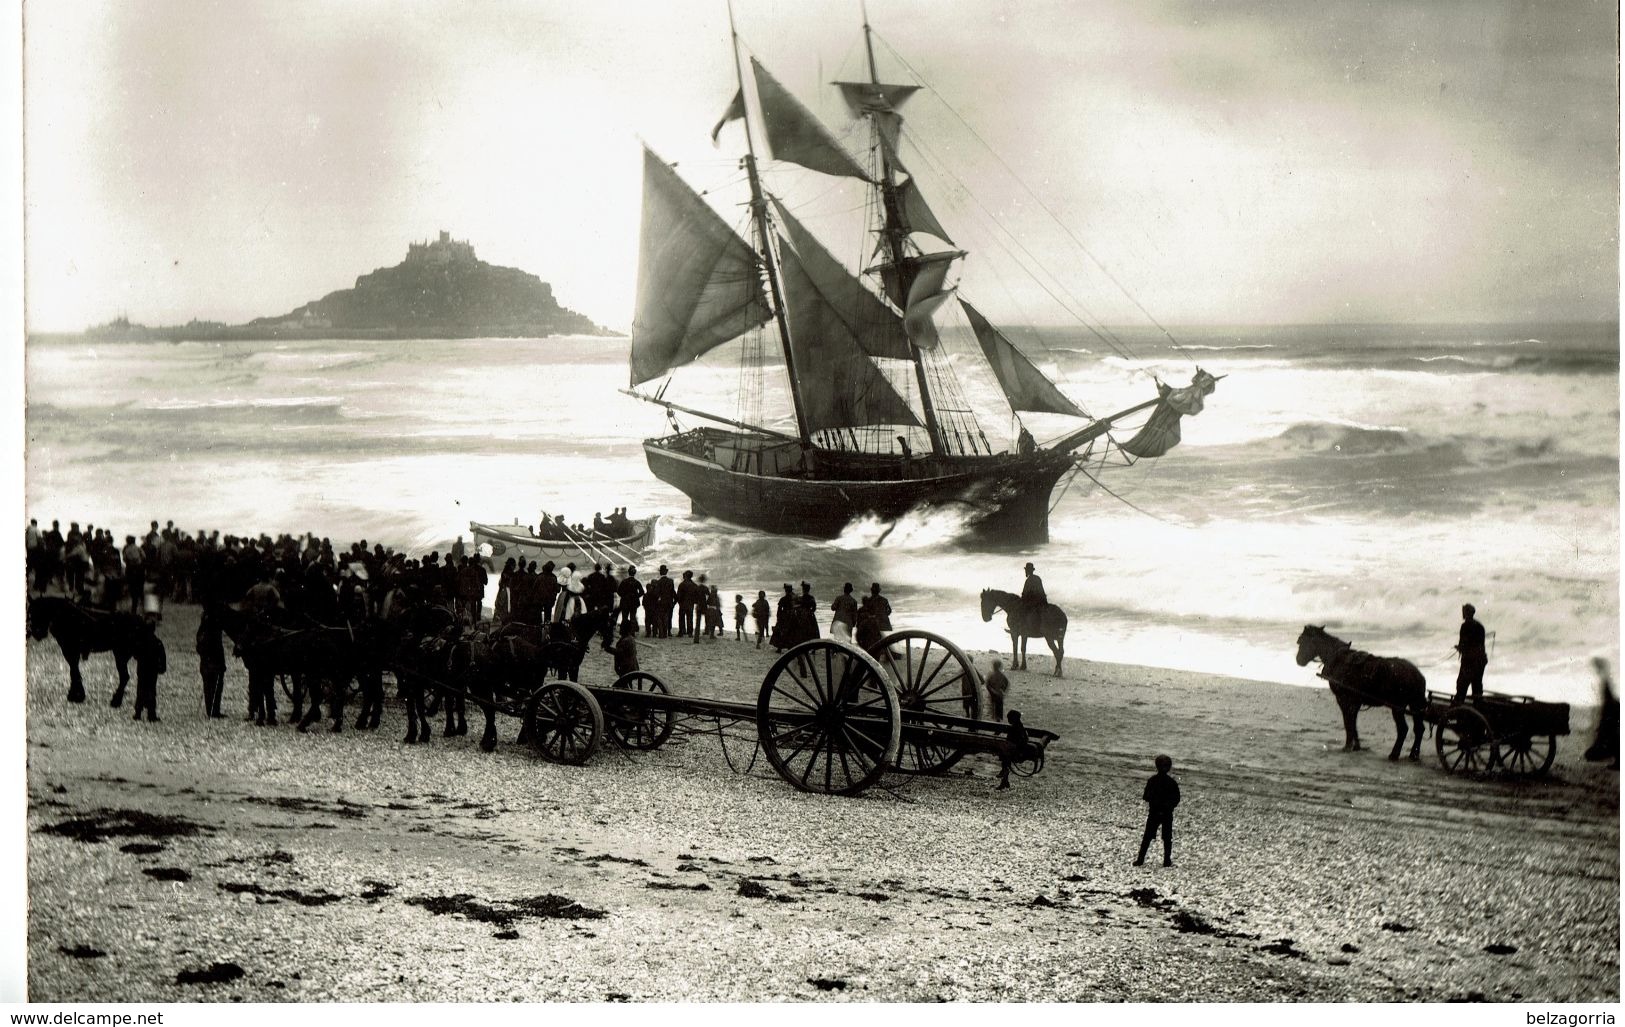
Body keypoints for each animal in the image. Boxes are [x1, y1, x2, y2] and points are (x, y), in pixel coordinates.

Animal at [1293, 620, 1423, 757]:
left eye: (1301, 640)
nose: (1298, 660)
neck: (1338, 658)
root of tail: (1416, 674)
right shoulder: (1355, 701)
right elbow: (1353, 723)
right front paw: (1356, 746)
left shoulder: (1343, 699)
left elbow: (1348, 722)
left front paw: (1348, 745)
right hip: (1415, 705)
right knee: (1419, 729)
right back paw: (1413, 755)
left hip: (1397, 707)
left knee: (1403, 729)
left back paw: (1394, 754)